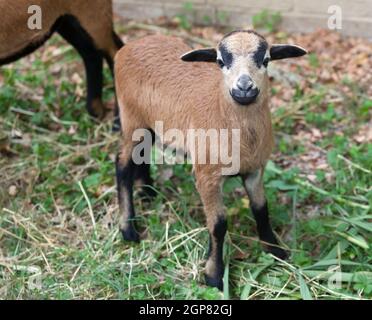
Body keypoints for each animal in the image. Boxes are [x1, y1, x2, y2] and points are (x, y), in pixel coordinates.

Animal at [115, 30, 306, 290]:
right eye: (220, 61)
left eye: (265, 60)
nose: (244, 88)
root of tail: (130, 45)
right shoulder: (207, 176)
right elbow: (218, 224)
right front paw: (214, 274)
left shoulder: (255, 169)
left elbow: (261, 209)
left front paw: (275, 250)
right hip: (131, 119)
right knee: (122, 165)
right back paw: (128, 229)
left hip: (150, 123)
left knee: (141, 156)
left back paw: (147, 192)